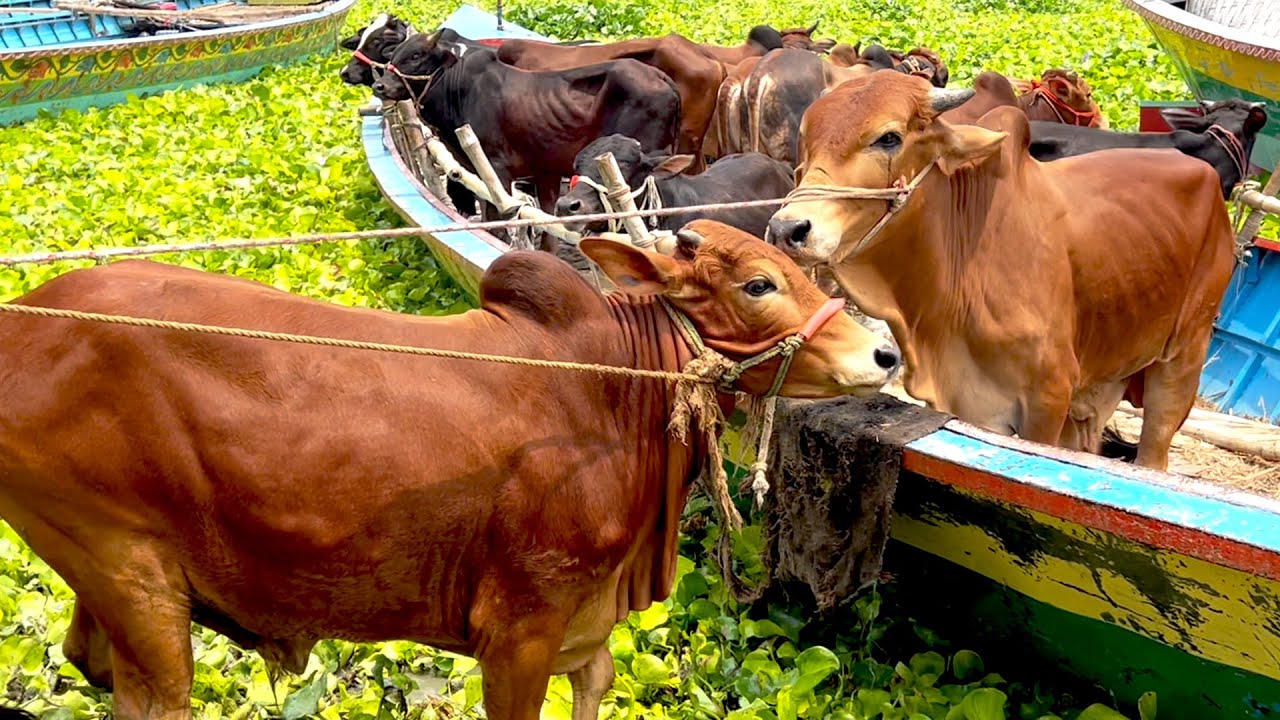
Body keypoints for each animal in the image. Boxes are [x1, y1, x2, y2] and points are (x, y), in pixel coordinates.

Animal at [0, 221, 898, 720]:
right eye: (759, 283)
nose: (884, 353)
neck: (619, 386)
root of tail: (23, 322)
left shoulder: (584, 628)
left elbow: (598, 684)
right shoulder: (521, 630)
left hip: (111, 577)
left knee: (85, 657)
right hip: (129, 572)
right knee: (151, 696)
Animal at [374, 31, 681, 224]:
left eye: (416, 55)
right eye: (394, 53)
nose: (380, 86)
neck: (457, 90)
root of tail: (662, 78)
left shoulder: (497, 170)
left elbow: (496, 218)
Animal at [764, 71, 1236, 471]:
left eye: (889, 137)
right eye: (807, 138)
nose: (789, 229)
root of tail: (1208, 180)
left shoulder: (1047, 401)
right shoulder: (964, 403)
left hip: (1181, 358)